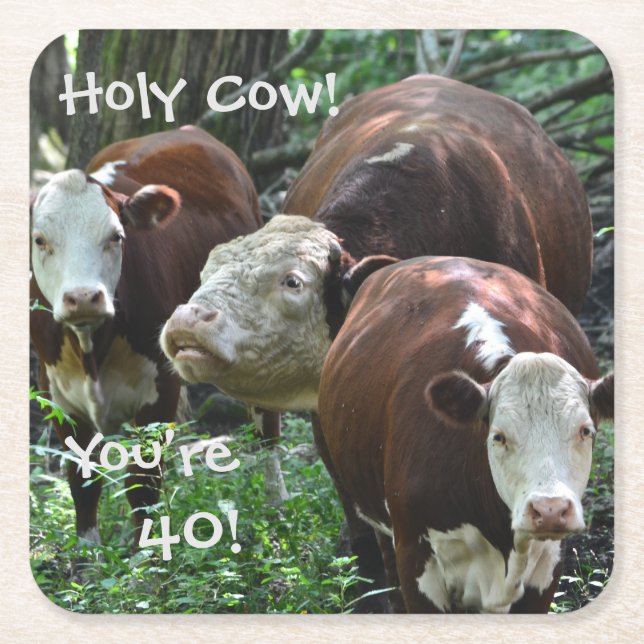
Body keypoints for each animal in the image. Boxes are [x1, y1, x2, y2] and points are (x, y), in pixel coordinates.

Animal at [30, 126, 262, 544]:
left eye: (116, 236)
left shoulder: (160, 389)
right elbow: (82, 482)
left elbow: (143, 486)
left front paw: (147, 556)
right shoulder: (55, 393)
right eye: (40, 240)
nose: (83, 297)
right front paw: (88, 556)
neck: (91, 350)